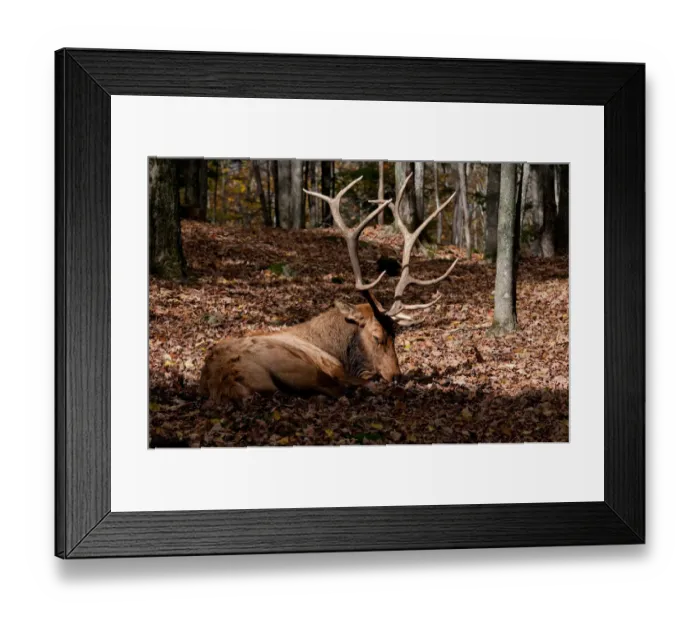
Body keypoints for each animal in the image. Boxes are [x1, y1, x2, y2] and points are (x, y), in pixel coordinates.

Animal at [199, 174, 458, 404]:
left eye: (395, 334)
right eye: (376, 336)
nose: (396, 376)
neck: (336, 348)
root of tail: (228, 382)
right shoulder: (335, 367)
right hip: (303, 368)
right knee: (343, 389)